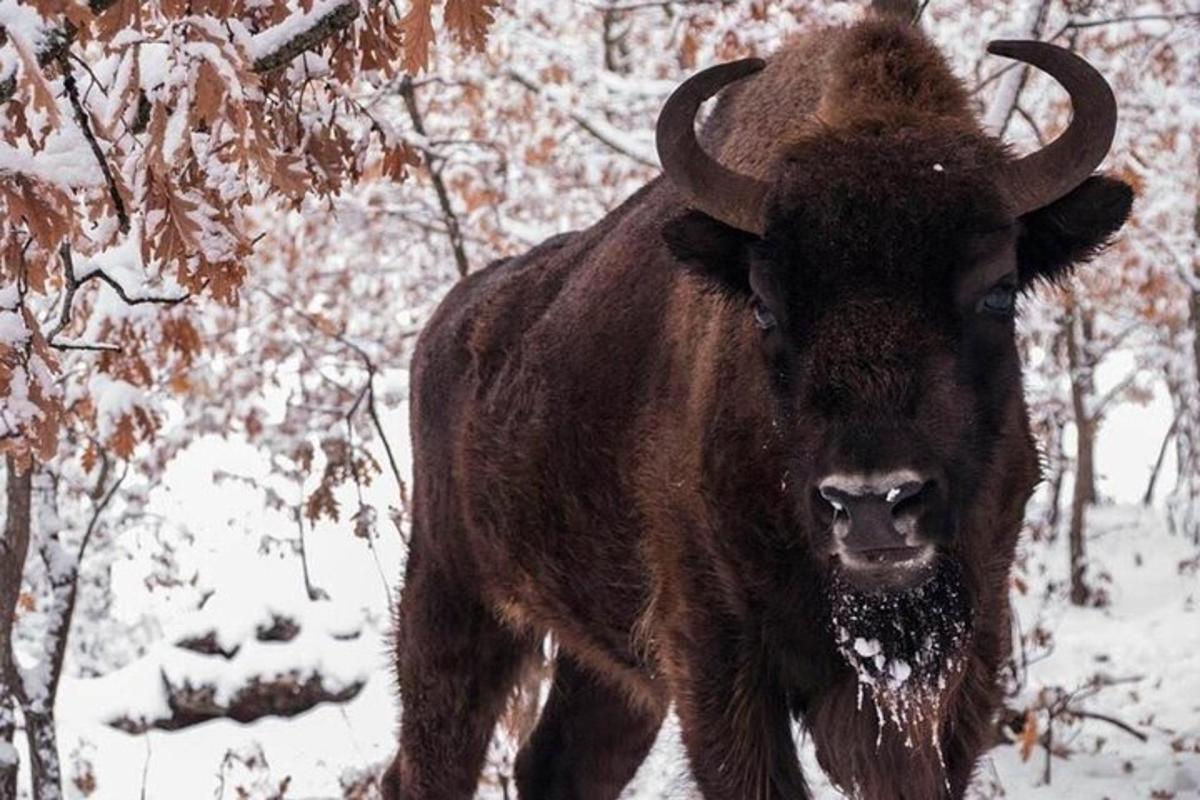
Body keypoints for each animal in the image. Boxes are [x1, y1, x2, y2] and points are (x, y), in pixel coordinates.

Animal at [386, 1, 1132, 800]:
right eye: (765, 306)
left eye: (997, 289)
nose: (873, 503)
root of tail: (451, 322)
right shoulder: (717, 657)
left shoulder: (962, 667)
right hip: (452, 605)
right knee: (427, 765)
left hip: (605, 665)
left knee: (557, 762)